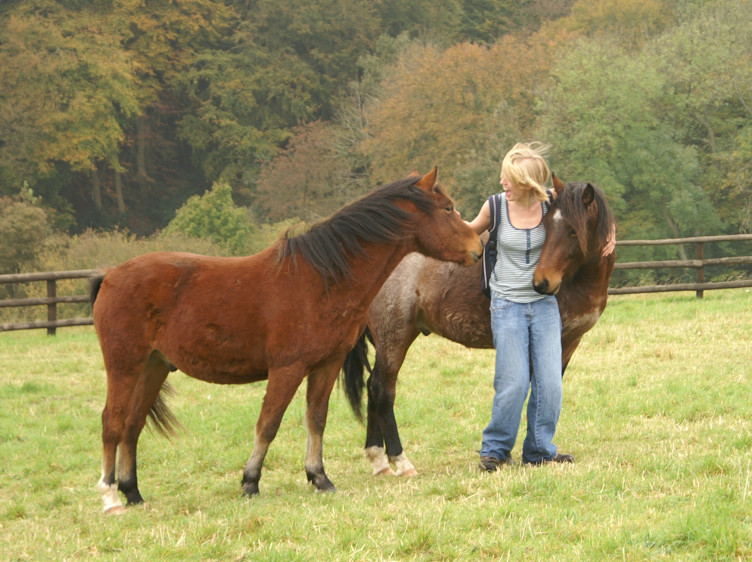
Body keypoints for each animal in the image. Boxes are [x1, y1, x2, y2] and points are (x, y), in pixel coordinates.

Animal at [90, 168, 482, 514]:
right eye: (448, 208)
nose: (478, 247)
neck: (323, 278)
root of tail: (110, 276)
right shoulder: (287, 368)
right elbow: (268, 423)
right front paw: (250, 482)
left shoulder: (326, 365)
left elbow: (316, 419)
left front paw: (319, 477)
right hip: (124, 366)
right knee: (112, 424)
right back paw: (110, 497)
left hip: (153, 367)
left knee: (132, 426)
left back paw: (132, 492)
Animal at [342, 176, 615, 476]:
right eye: (546, 226)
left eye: (572, 231)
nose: (541, 283)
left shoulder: (568, 343)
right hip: (395, 336)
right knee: (383, 389)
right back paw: (400, 461)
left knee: (372, 387)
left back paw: (378, 460)